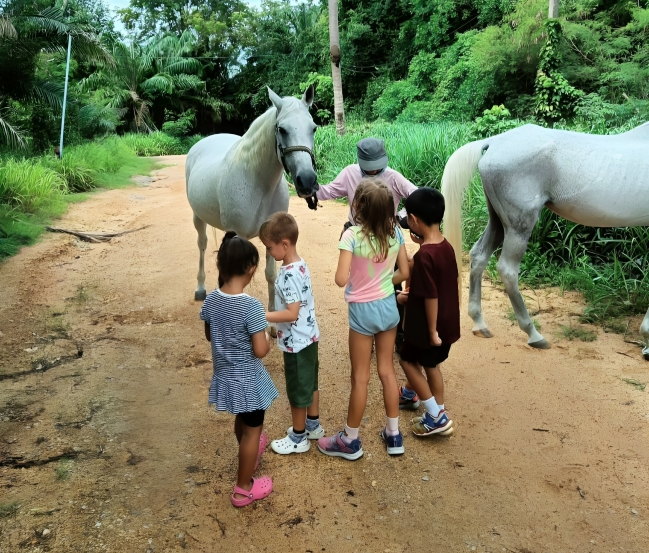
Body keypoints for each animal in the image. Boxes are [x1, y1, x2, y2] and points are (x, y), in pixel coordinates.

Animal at [186, 86, 319, 317]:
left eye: (313, 128)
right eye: (281, 129)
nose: (307, 180)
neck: (258, 184)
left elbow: (270, 274)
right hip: (197, 217)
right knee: (202, 245)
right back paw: (200, 288)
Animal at [441, 122, 649, 357]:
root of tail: (495, 141)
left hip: (498, 222)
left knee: (479, 256)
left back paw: (479, 323)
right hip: (519, 225)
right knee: (507, 269)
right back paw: (533, 334)